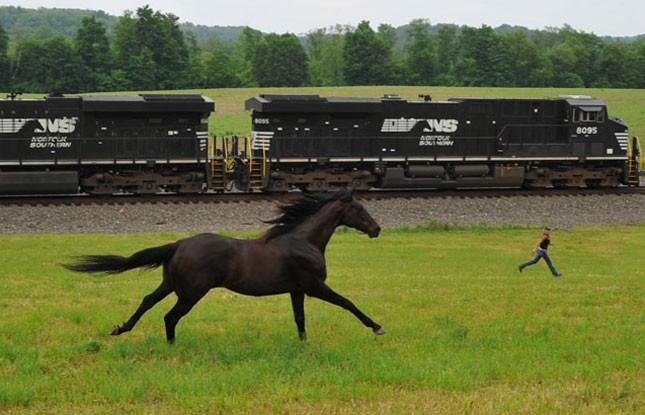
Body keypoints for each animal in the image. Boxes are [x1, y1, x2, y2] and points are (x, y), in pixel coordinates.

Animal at [66, 190, 382, 342]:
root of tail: (179, 244)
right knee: (170, 317)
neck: (302, 241)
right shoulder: (314, 285)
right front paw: (377, 327)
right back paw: (171, 345)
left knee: (147, 302)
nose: (377, 229)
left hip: (171, 285)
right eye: (360, 209)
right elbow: (347, 302)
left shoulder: (297, 290)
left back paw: (120, 329)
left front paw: (303, 344)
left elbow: (300, 319)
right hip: (191, 293)